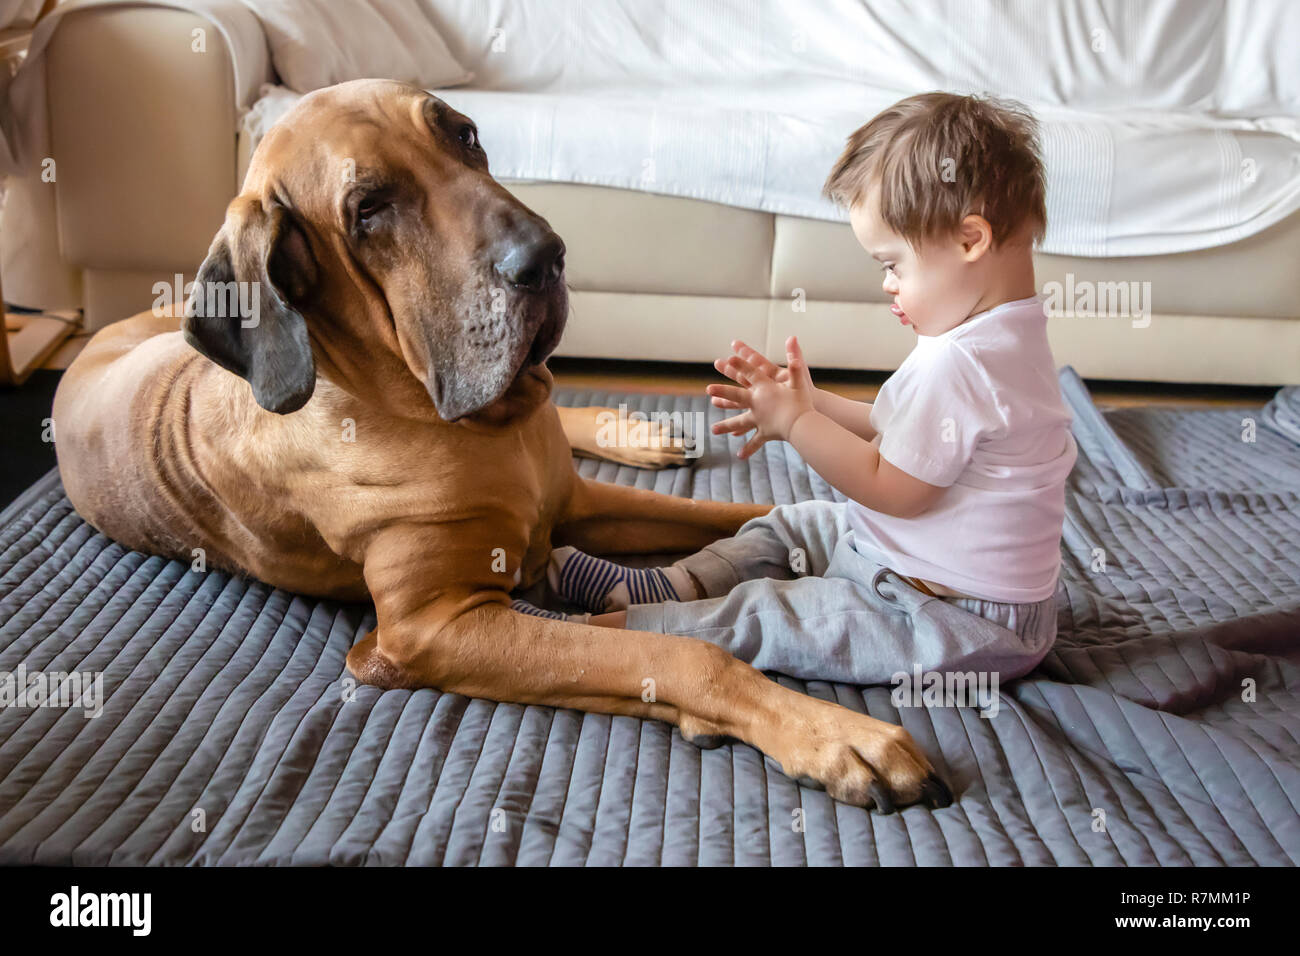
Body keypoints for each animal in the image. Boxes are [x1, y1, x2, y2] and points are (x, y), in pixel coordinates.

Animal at [50, 80, 951, 806]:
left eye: (466, 134)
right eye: (368, 210)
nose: (548, 257)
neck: (462, 424)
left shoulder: (573, 501)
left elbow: (740, 514)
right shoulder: (435, 627)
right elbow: (679, 654)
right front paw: (837, 736)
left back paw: (636, 429)